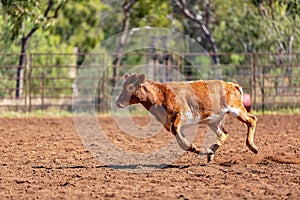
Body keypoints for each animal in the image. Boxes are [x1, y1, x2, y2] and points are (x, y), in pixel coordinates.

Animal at [115, 74, 258, 162]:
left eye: (130, 87)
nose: (118, 103)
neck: (161, 95)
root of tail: (231, 85)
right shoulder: (175, 125)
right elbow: (182, 142)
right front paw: (203, 150)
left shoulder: (182, 115)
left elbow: (178, 133)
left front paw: (199, 149)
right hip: (214, 120)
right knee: (224, 134)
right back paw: (211, 153)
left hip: (236, 109)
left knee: (252, 120)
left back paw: (252, 146)